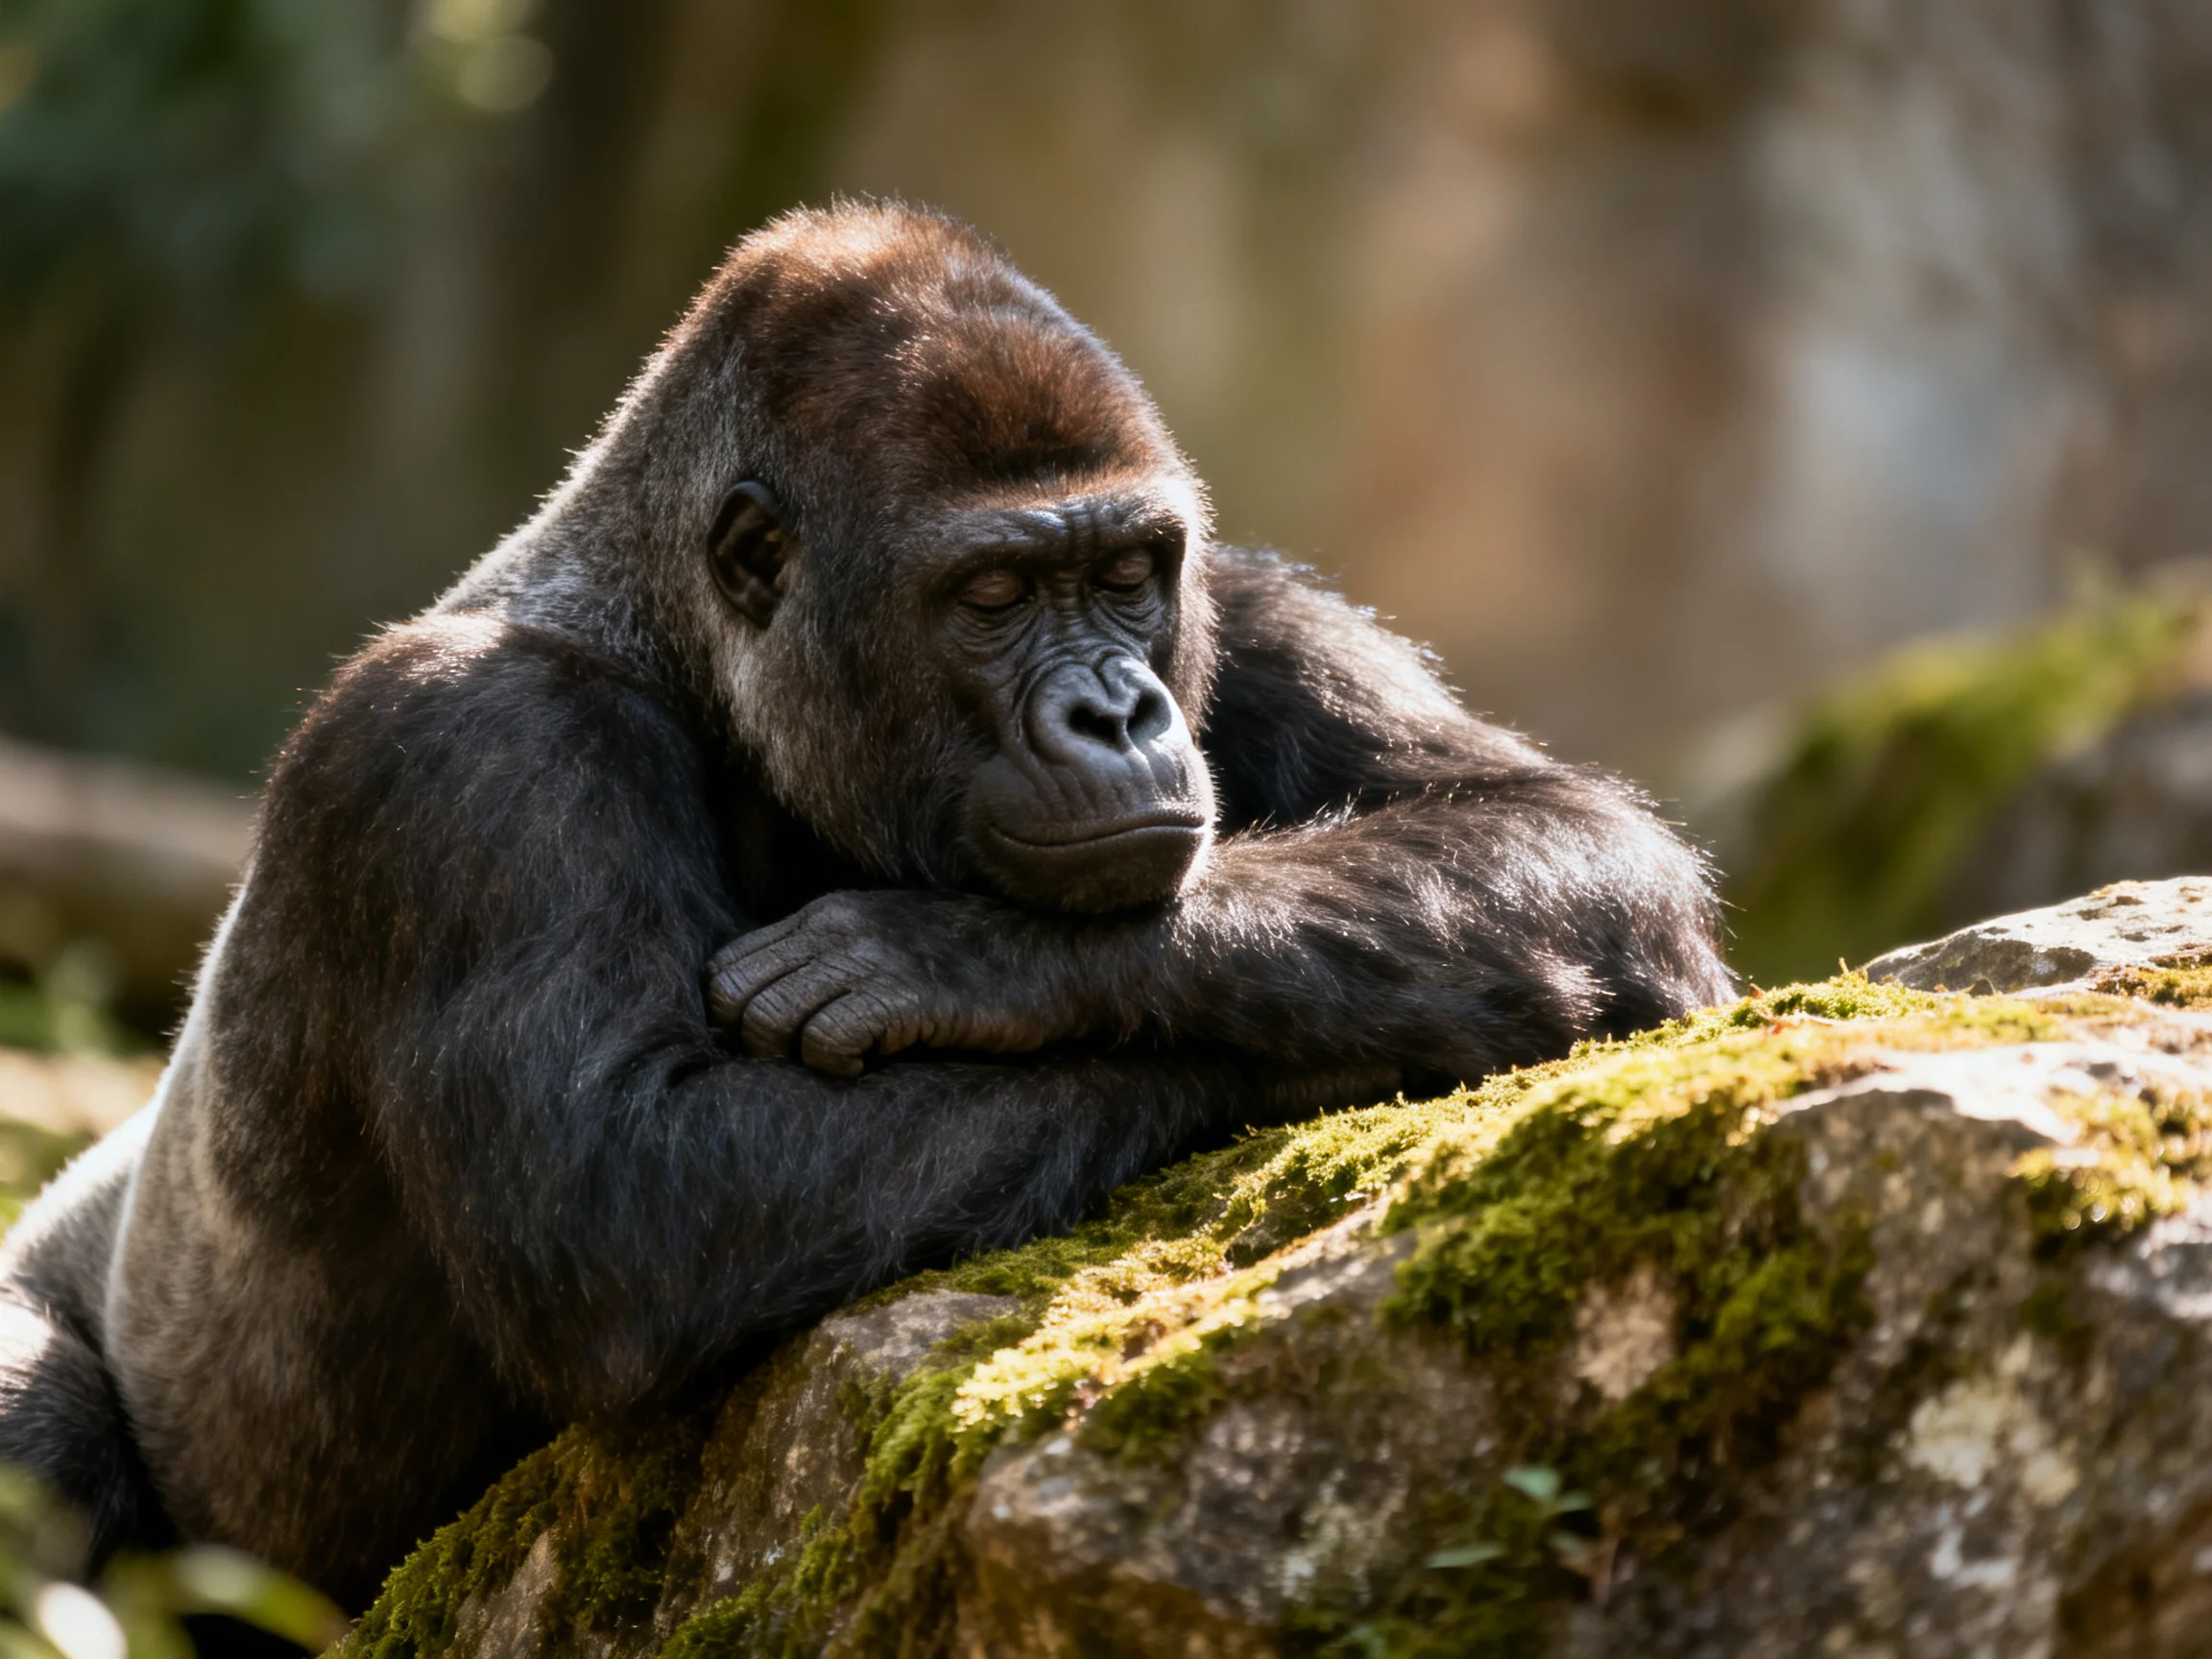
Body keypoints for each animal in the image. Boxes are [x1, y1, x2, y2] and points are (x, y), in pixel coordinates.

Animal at [0, 201, 1732, 1609]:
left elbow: (1572, 838)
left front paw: (965, 956)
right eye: (993, 595)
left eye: (1125, 574)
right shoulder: (457, 750)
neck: (677, 640)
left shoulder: (1239, 601)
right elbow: (630, 1210)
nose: (1116, 714)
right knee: (47, 1440)